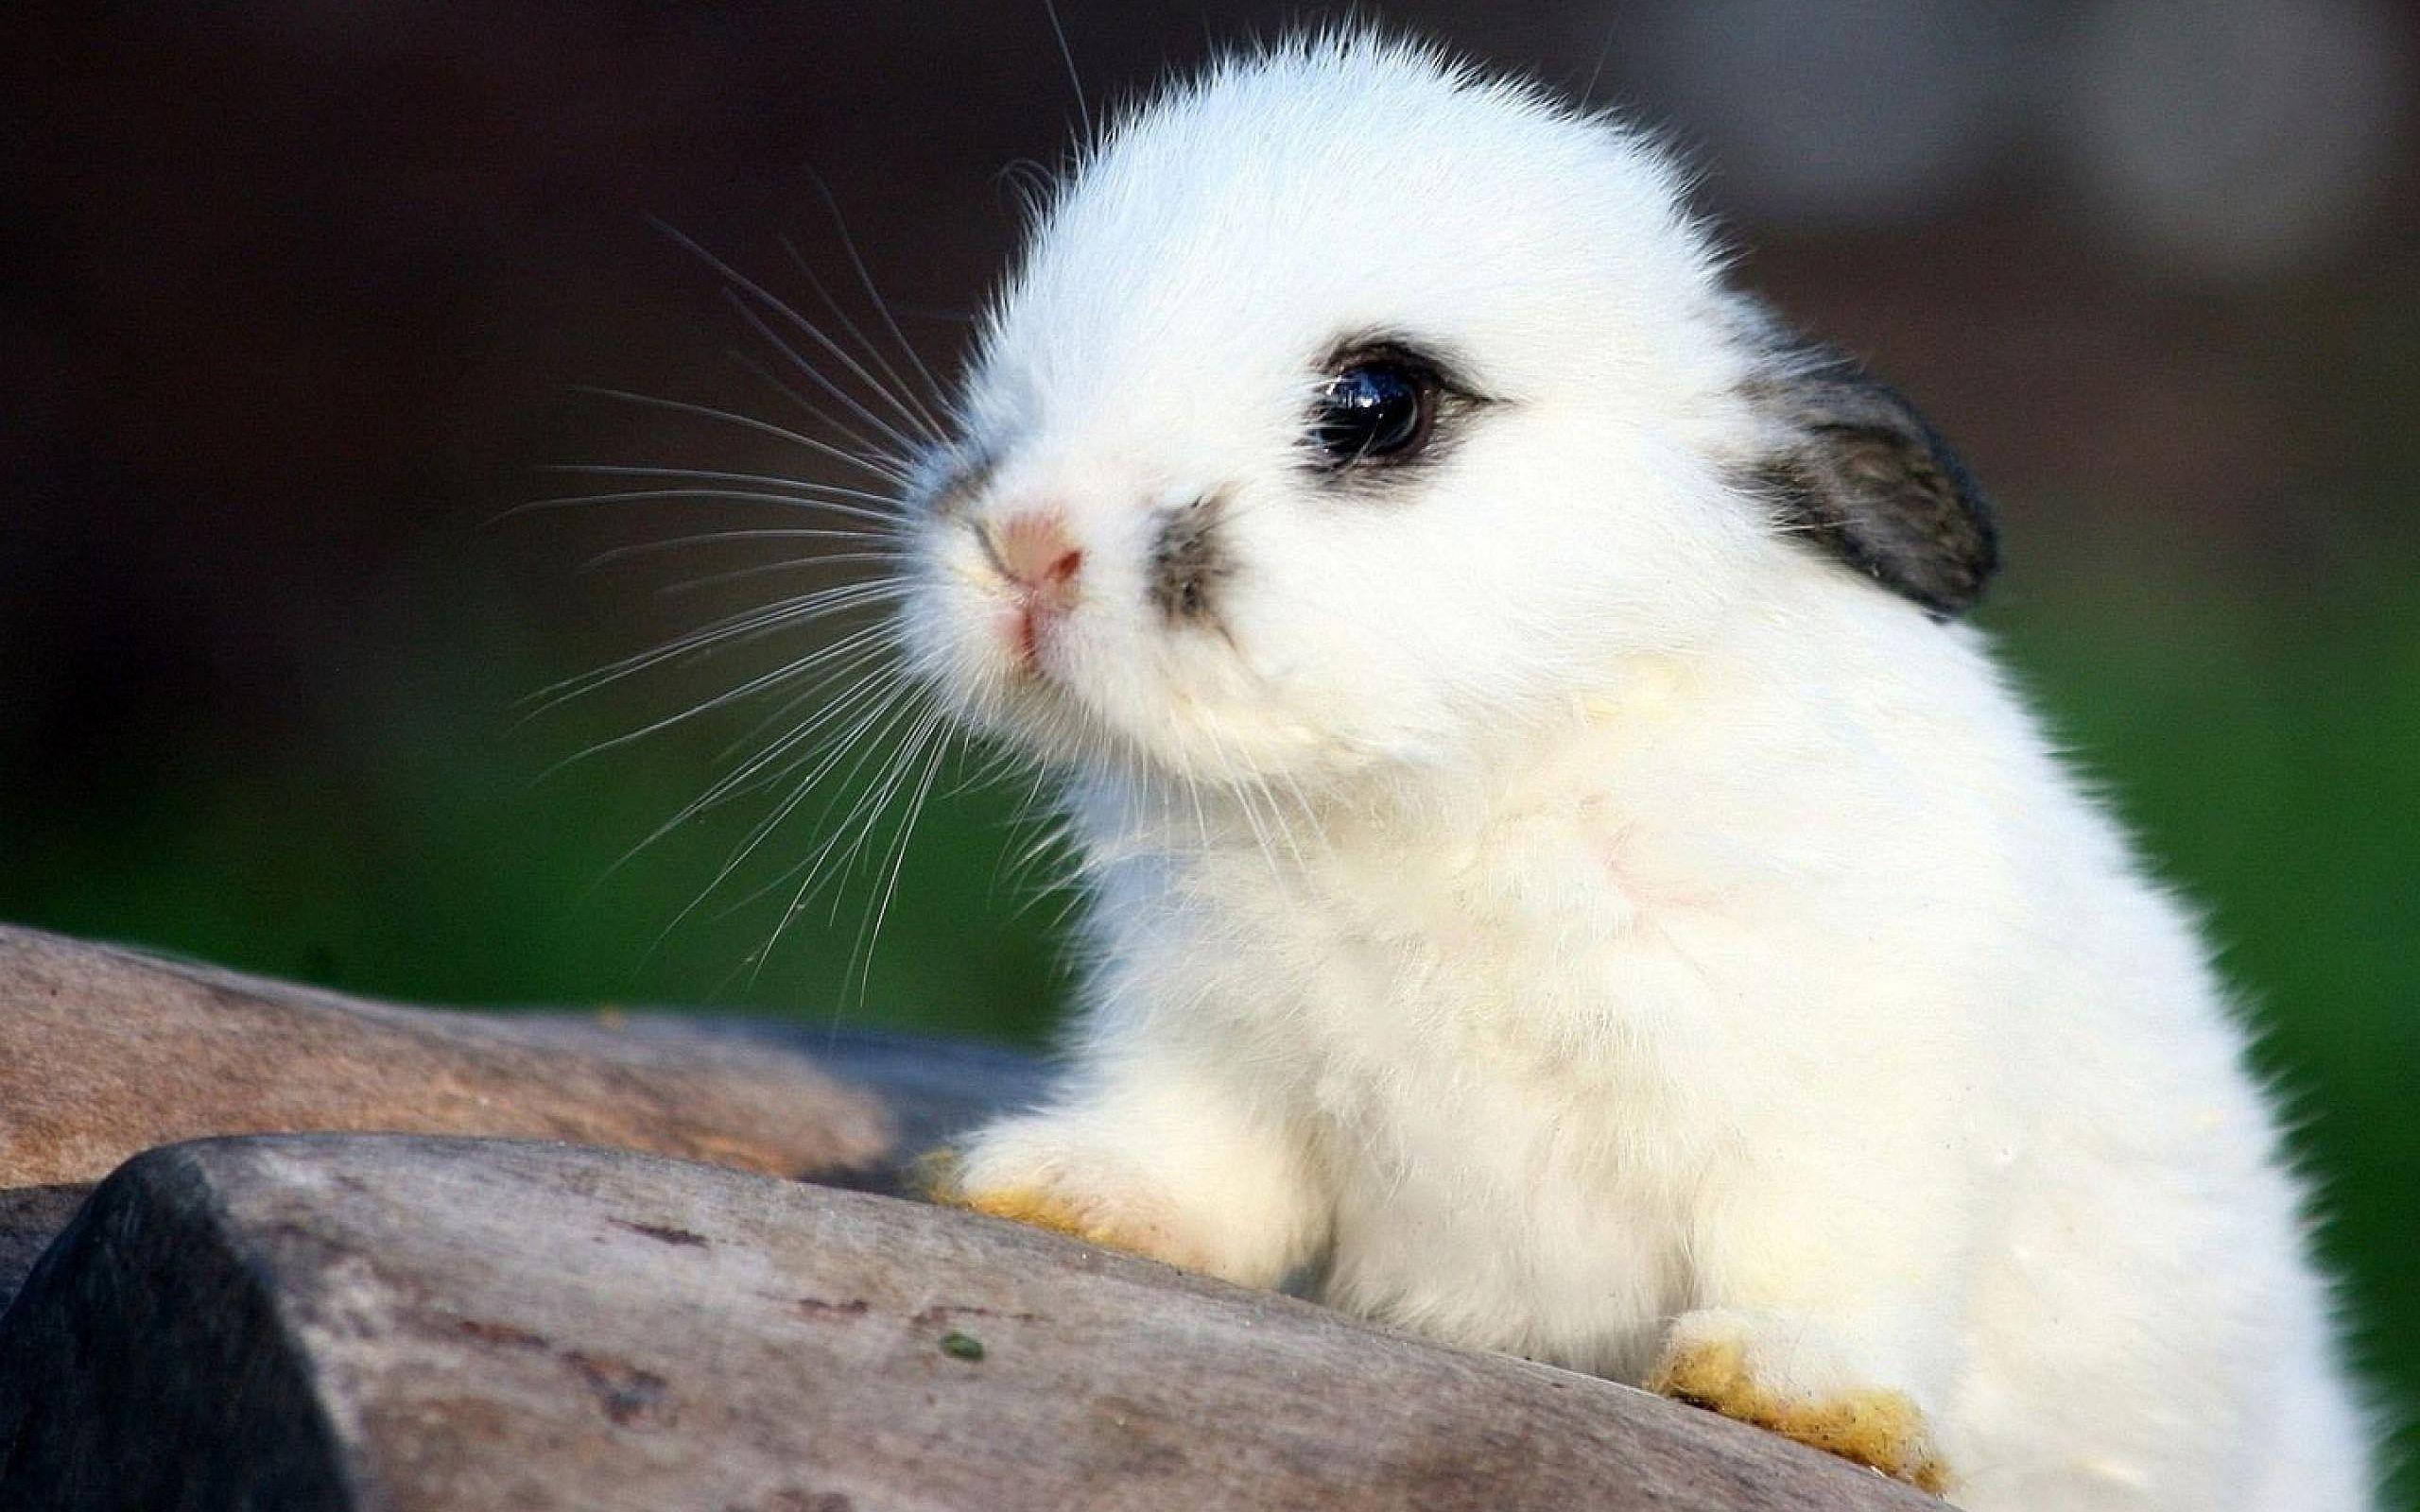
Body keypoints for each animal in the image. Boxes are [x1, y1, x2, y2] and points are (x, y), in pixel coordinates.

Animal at [893, 32, 2379, 1510]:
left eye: (1378, 404)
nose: (1026, 544)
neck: (1455, 786)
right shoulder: (1210, 1047)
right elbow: (1196, 1169)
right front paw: (1050, 1187)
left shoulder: (1854, 1094)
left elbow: (1834, 1255)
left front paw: (1790, 1393)